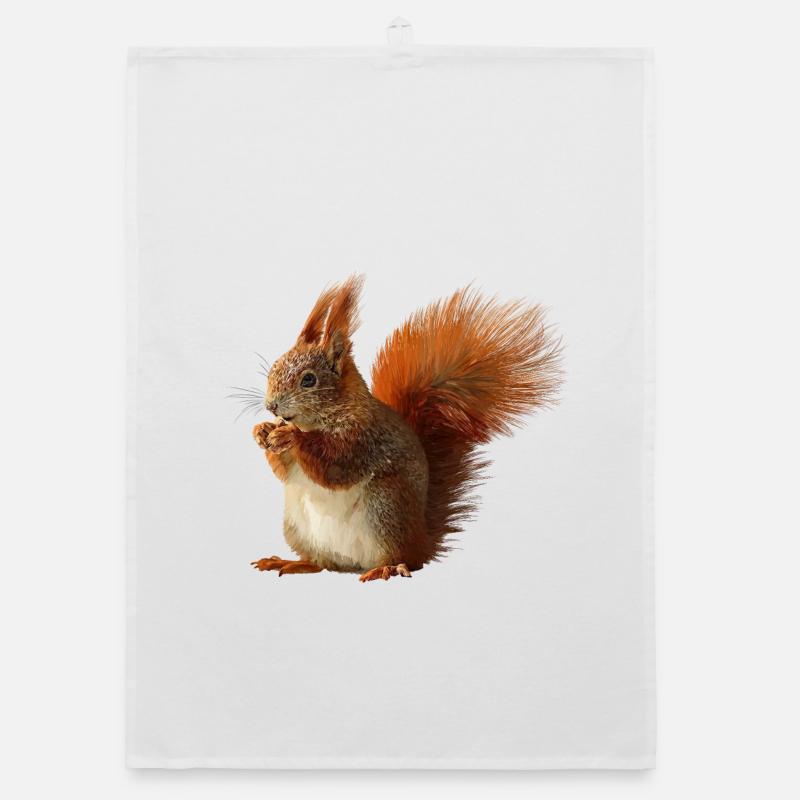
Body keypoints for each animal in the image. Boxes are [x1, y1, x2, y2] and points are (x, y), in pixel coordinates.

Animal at [250, 276, 562, 582]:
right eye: (274, 367)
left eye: (309, 380)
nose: (271, 406)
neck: (316, 422)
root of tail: (421, 539)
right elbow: (284, 471)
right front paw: (262, 431)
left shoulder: (363, 439)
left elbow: (334, 466)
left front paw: (291, 436)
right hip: (299, 526)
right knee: (322, 563)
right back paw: (293, 563)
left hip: (385, 506)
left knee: (406, 560)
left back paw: (386, 568)